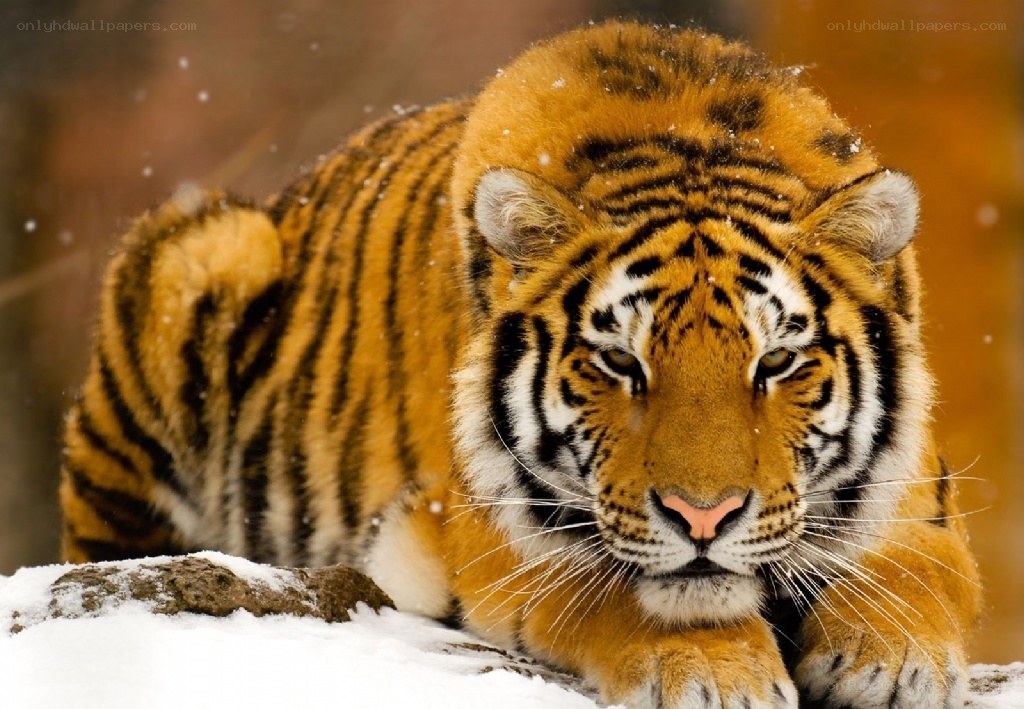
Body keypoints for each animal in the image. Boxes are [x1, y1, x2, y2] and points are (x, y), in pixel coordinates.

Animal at [59, 21, 980, 708]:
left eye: (777, 361)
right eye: (619, 362)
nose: (704, 516)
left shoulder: (918, 495)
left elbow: (919, 569)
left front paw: (887, 658)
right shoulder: (490, 526)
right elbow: (616, 586)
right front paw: (717, 673)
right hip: (203, 252)